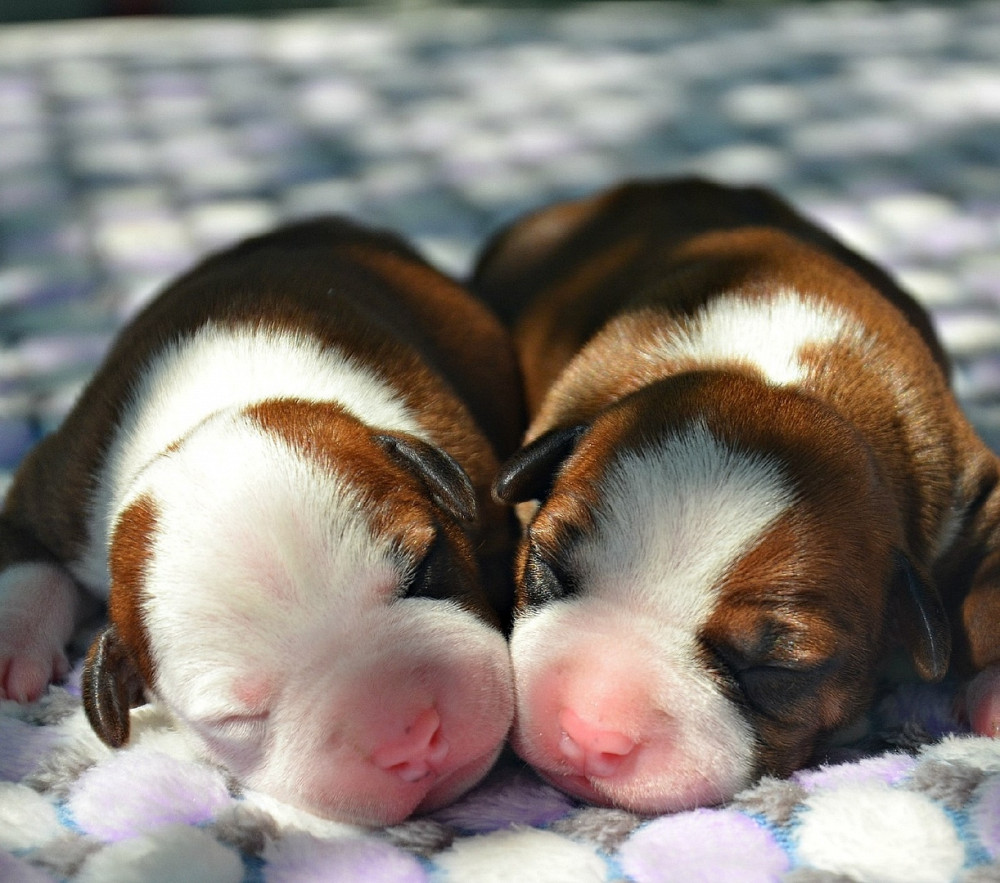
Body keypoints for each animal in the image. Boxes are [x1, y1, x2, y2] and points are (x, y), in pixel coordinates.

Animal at [1, 218, 524, 824]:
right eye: (236, 717)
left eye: (426, 569)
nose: (411, 738)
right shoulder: (63, 484)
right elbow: (26, 550)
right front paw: (13, 641)